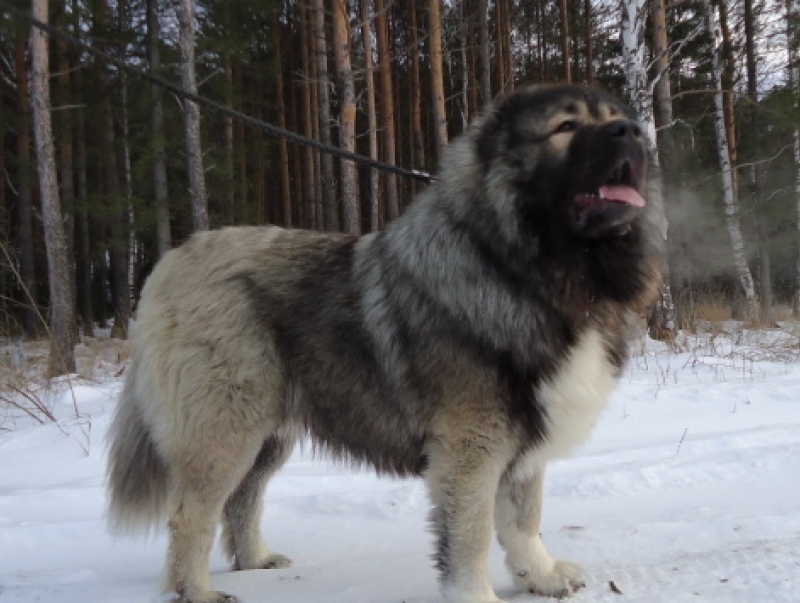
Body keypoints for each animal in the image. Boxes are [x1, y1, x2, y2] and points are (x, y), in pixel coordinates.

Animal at [109, 82, 664, 600]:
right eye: (567, 127)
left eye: (615, 118)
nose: (633, 131)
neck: (526, 269)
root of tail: (172, 261)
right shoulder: (470, 446)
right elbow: (471, 535)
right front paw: (477, 594)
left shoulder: (527, 432)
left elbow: (525, 517)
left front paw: (541, 576)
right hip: (224, 428)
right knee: (191, 514)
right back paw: (196, 591)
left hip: (268, 432)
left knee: (243, 499)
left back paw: (255, 560)